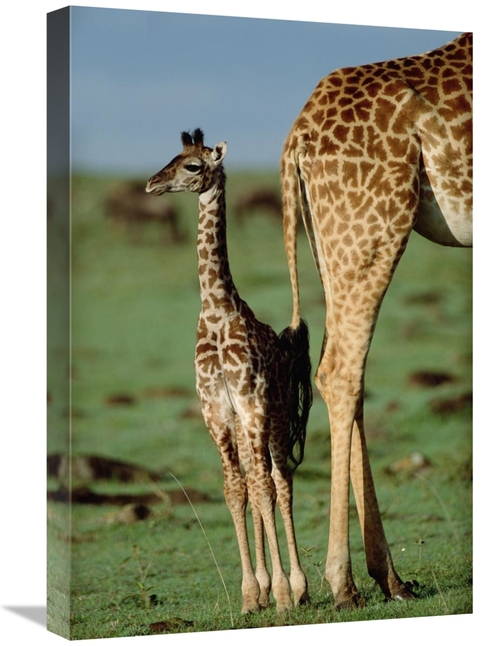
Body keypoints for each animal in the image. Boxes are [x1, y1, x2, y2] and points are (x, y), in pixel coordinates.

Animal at [145, 129, 313, 614]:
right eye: (174, 157)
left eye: (192, 166)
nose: (151, 184)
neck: (217, 312)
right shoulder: (217, 412)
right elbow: (236, 491)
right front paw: (250, 594)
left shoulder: (252, 405)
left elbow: (263, 488)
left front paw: (282, 594)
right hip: (244, 424)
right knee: (257, 484)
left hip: (275, 416)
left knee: (280, 480)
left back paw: (299, 587)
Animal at [280, 32, 472, 609]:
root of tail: (297, 135)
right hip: (373, 224)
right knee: (340, 370)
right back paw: (343, 583)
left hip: (332, 240)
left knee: (344, 368)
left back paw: (390, 578)